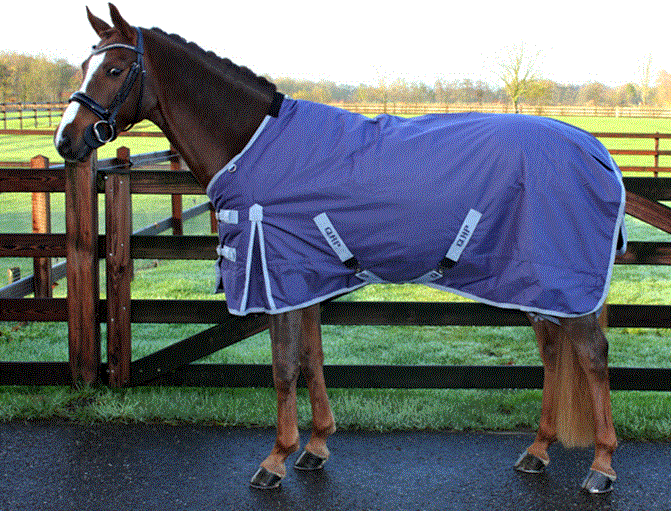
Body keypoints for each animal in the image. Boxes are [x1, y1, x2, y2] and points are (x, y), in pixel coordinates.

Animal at [56, 3, 620, 492]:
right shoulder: (302, 279)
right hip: (535, 284)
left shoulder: (276, 276)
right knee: (553, 353)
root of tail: (595, 149)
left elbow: (284, 368)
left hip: (562, 278)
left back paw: (601, 466)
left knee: (591, 356)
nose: (67, 140)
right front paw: (316, 447)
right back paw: (538, 451)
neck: (253, 143)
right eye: (85, 64)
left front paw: (275, 460)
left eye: (114, 69)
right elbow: (311, 359)